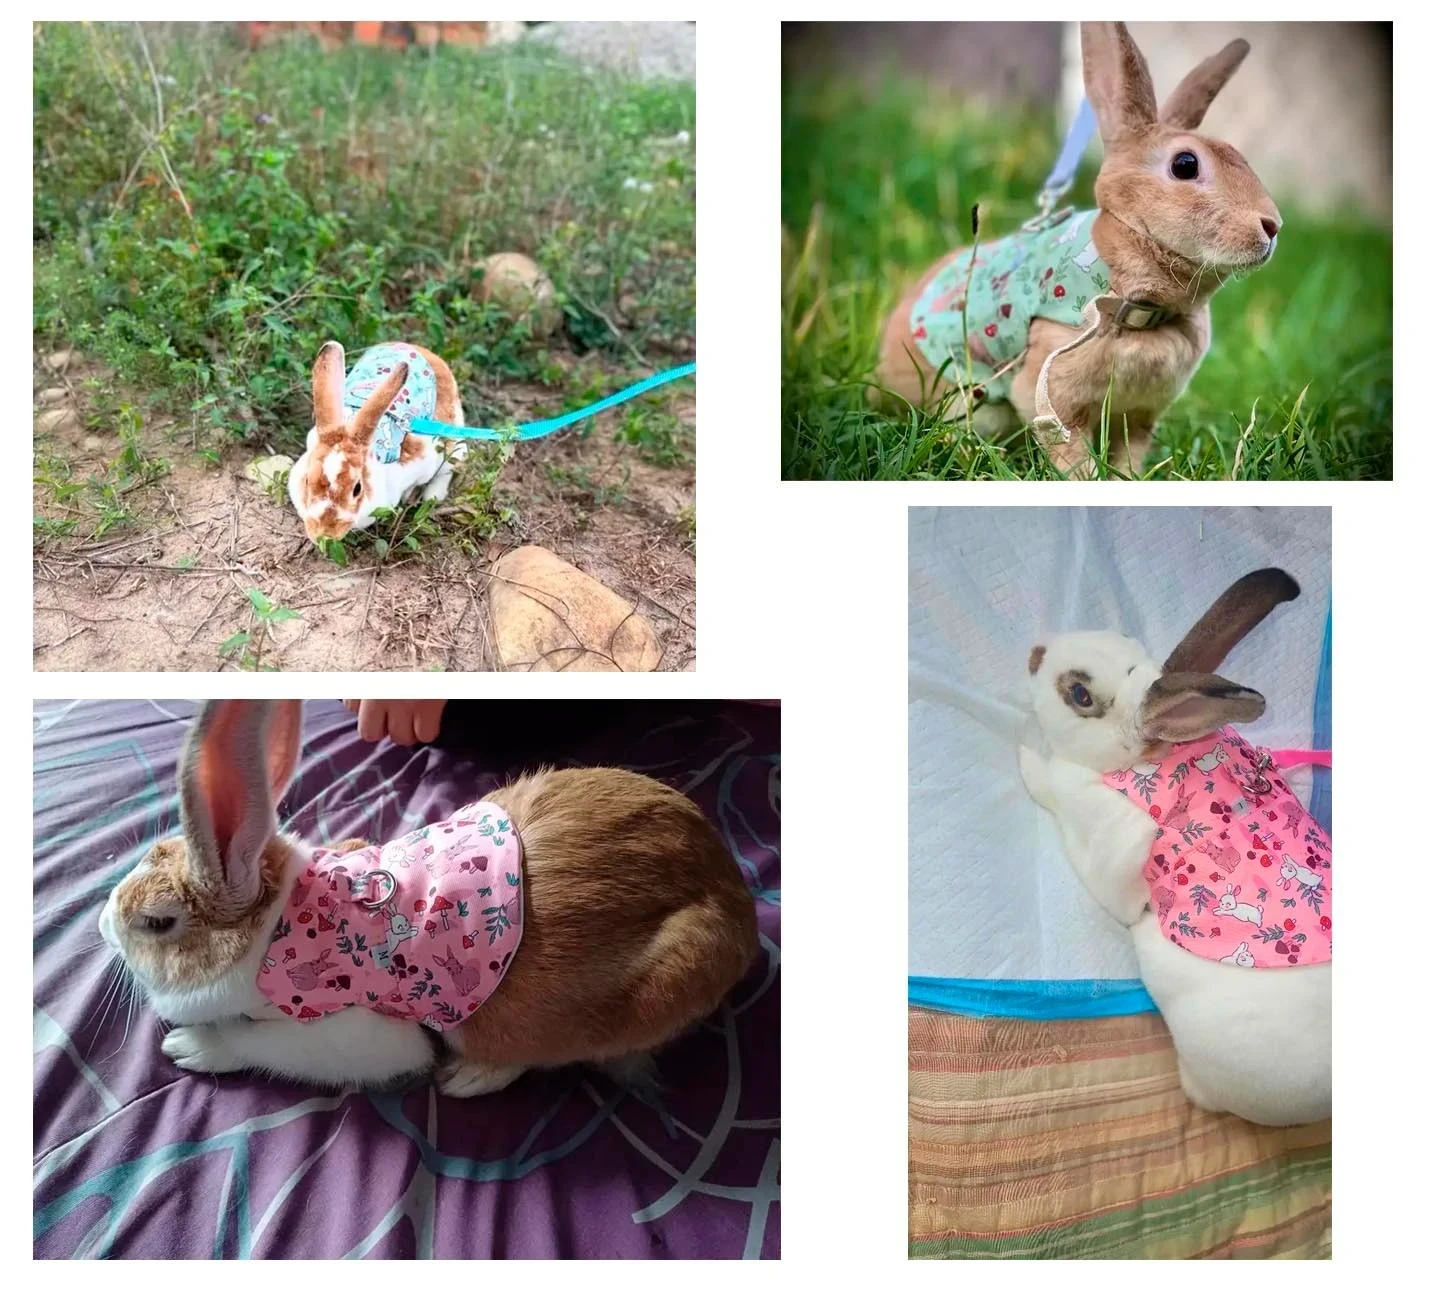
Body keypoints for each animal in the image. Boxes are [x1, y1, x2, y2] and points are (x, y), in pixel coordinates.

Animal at [97, 700, 759, 1098]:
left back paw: (465, 1079)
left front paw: (191, 1047)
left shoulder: (352, 1032)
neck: (278, 927)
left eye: (157, 923)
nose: (102, 927)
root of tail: (734, 898)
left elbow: (263, 1045)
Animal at [288, 340, 468, 543]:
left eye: (357, 489)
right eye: (307, 480)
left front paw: (409, 496)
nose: (324, 534)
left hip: (453, 442)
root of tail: (421, 350)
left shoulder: (423, 462)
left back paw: (432, 496)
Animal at [878, 22, 1281, 477]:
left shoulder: (1137, 417)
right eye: (1185, 165)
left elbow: (1129, 454)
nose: (1272, 225)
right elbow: (1072, 452)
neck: (1138, 306)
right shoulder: (1054, 397)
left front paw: (1128, 481)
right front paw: (1085, 480)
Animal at [1017, 568, 1330, 1126]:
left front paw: (1027, 758)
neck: (1147, 754)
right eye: (1120, 632)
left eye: (1078, 693)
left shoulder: (1111, 857)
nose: (1036, 651)